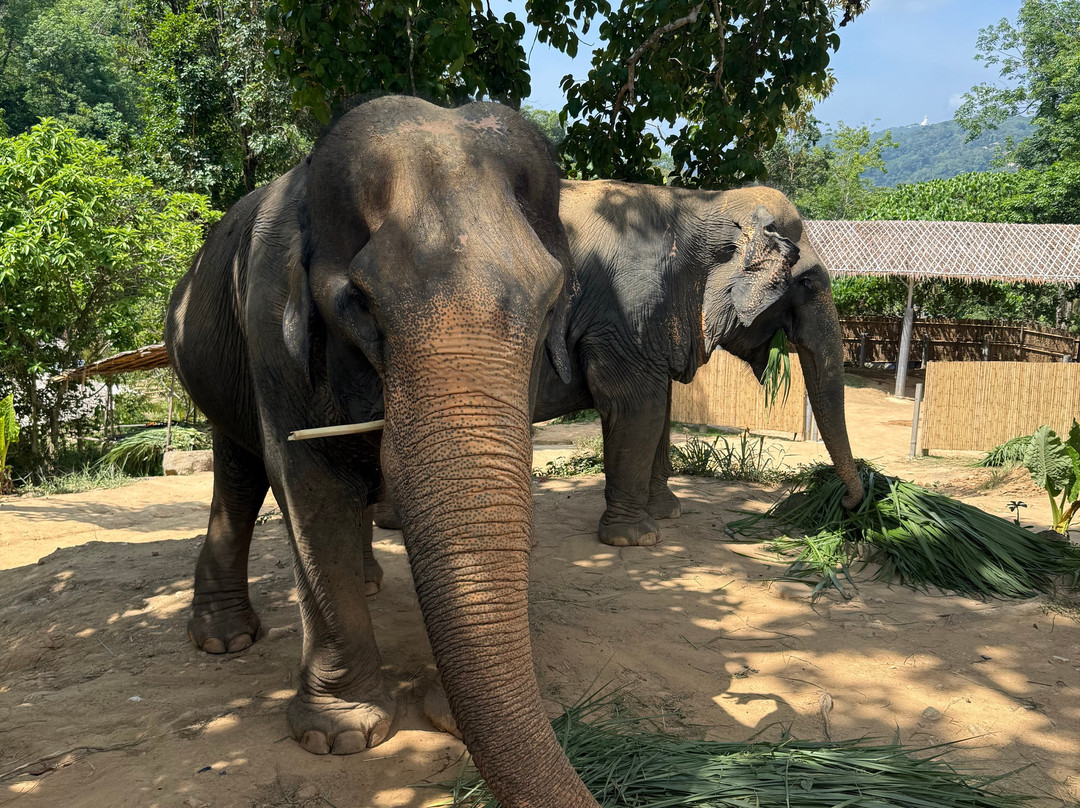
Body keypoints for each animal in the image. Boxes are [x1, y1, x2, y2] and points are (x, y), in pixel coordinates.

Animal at [165, 96, 602, 808]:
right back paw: (224, 640)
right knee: (238, 469)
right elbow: (309, 487)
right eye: (359, 304)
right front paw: (339, 737)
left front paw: (446, 717)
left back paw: (368, 581)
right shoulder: (271, 330)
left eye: (548, 304)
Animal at [376, 179, 864, 546]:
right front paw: (636, 538)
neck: (700, 201)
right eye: (807, 282)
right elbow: (637, 406)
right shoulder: (624, 310)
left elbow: (662, 407)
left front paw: (667, 513)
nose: (847, 506)